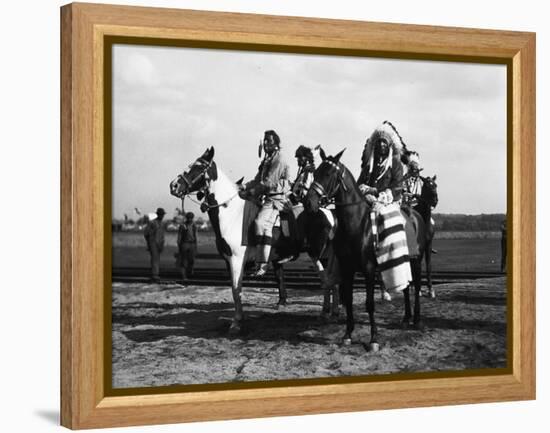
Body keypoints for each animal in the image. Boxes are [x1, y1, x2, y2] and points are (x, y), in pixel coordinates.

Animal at [170, 147, 338, 332]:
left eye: (198, 167)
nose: (174, 185)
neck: (232, 215)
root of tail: (330, 213)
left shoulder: (237, 260)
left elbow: (236, 289)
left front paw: (236, 322)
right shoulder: (228, 261)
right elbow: (236, 290)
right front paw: (240, 317)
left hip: (320, 256)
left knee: (329, 281)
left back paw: (326, 314)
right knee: (332, 282)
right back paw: (332, 313)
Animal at [306, 150, 426, 350]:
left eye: (328, 174)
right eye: (315, 173)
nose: (309, 203)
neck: (357, 224)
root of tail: (415, 214)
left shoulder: (369, 269)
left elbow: (370, 304)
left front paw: (374, 339)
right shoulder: (347, 269)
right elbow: (348, 300)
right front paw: (347, 334)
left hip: (416, 261)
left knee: (415, 286)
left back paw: (416, 319)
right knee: (406, 287)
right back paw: (406, 318)